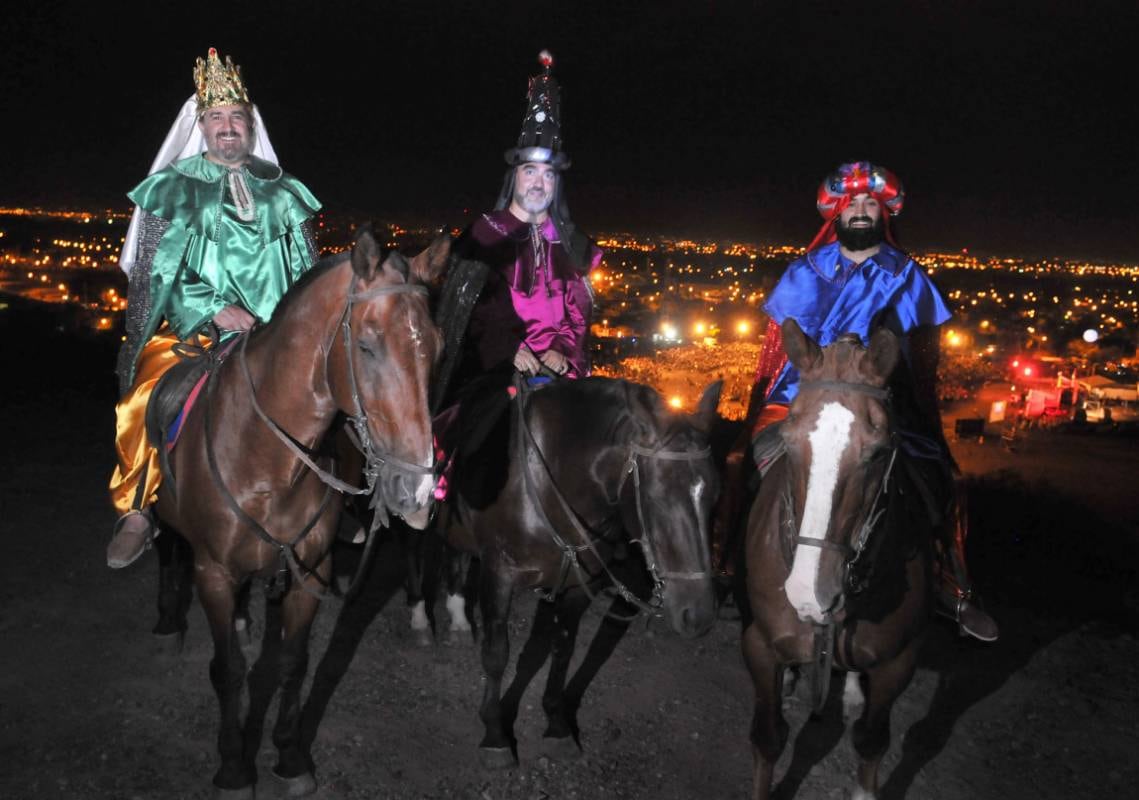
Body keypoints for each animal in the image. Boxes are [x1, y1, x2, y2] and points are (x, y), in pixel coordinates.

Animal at [143, 230, 444, 797]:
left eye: (435, 348)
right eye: (366, 345)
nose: (415, 490)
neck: (267, 461)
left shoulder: (312, 571)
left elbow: (292, 664)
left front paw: (288, 756)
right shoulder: (213, 572)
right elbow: (229, 671)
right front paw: (234, 768)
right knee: (167, 547)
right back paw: (167, 623)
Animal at [437, 378, 719, 765]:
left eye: (714, 496)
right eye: (657, 497)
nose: (698, 616)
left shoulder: (577, 586)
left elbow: (563, 650)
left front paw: (557, 724)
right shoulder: (498, 575)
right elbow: (497, 655)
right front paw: (495, 734)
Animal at [738, 321, 933, 800]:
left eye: (878, 452)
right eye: (788, 441)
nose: (810, 594)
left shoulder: (899, 662)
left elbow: (872, 741)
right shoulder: (759, 646)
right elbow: (768, 739)